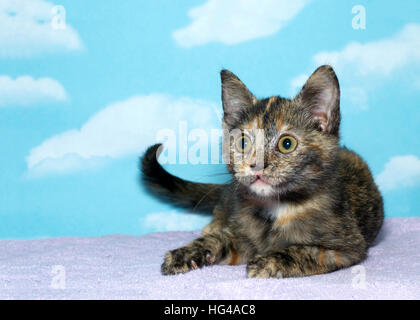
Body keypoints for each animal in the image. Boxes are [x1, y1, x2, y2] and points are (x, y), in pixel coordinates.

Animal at [141, 65, 384, 278]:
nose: (256, 165)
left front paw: (270, 261)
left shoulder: (347, 248)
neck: (277, 207)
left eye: (287, 144)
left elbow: (304, 250)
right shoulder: (240, 239)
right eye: (242, 143)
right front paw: (185, 253)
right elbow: (219, 239)